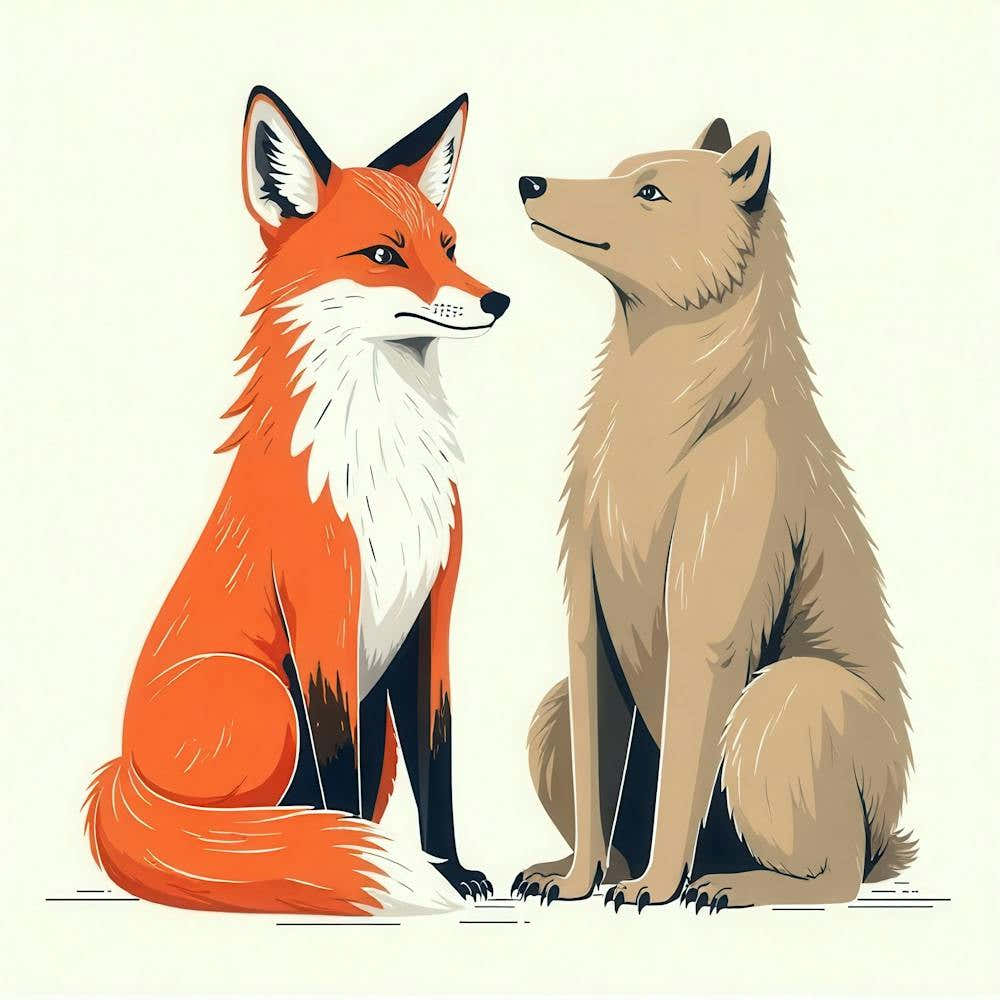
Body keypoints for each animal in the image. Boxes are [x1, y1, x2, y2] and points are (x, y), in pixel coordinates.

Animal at [84, 87, 509, 915]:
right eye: (384, 256)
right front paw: (347, 864)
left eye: (449, 245)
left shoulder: (428, 623)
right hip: (264, 698)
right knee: (238, 825)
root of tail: (119, 772)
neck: (386, 464)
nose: (497, 299)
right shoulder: (322, 621)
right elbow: (335, 771)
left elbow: (437, 765)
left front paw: (448, 870)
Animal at [511, 119, 913, 911]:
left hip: (807, 719)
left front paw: (652, 887)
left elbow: (692, 717)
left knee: (830, 845)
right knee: (559, 713)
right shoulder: (589, 574)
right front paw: (574, 881)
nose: (531, 182)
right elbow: (589, 698)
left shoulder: (733, 524)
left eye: (651, 192)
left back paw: (731, 881)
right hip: (559, 716)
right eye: (621, 169)